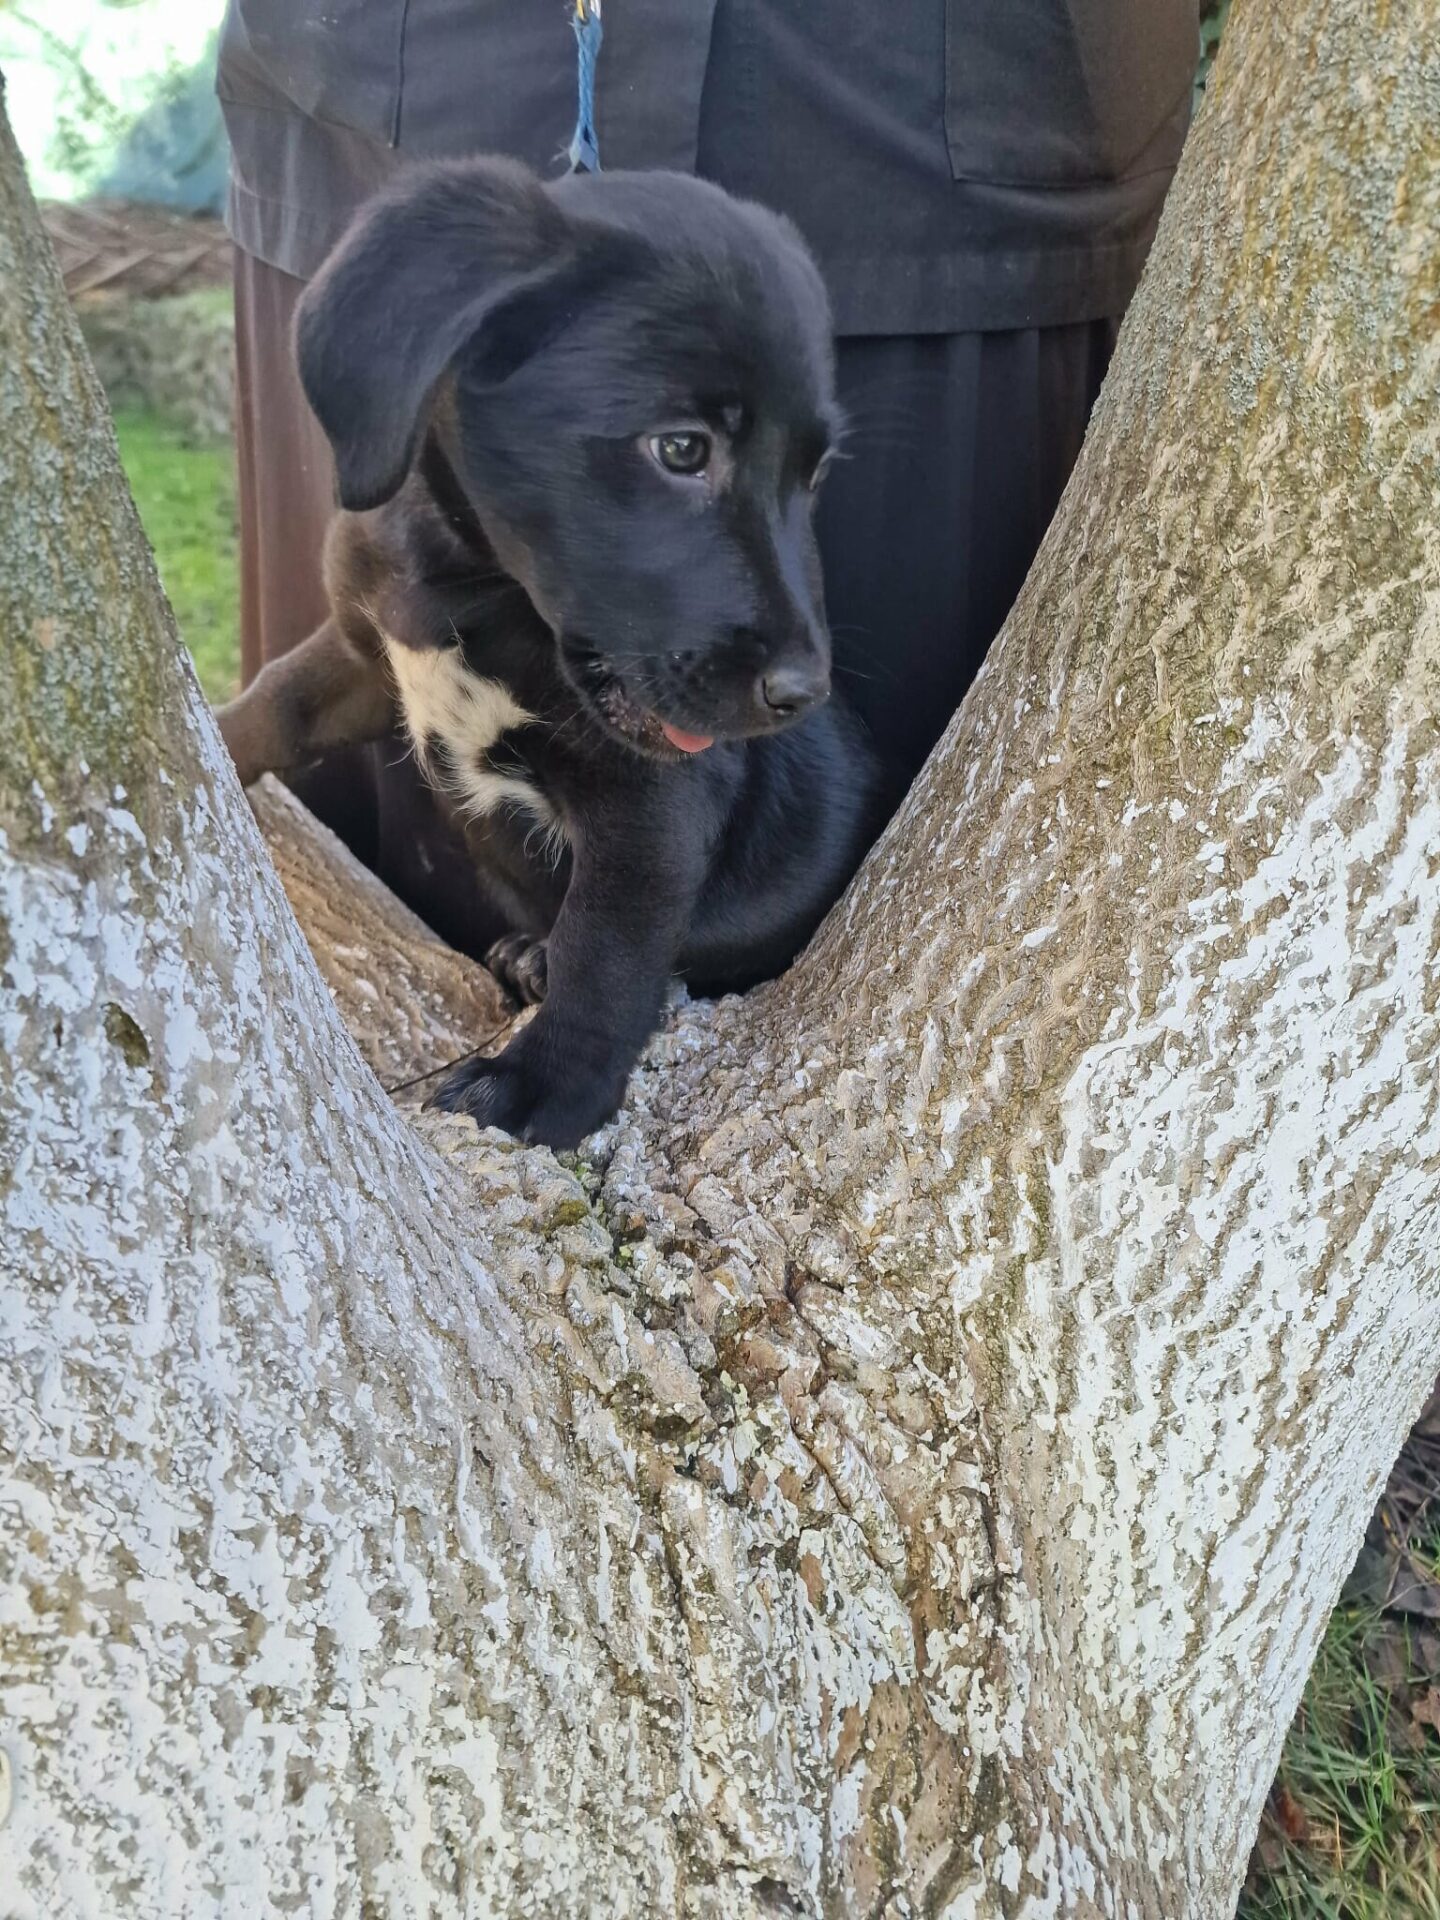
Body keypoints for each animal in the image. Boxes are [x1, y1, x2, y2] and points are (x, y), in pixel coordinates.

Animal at [218, 157, 878, 1148]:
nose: (803, 692)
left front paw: (546, 1085)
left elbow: (604, 954)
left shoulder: (651, 810)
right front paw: (194, 739)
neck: (471, 585)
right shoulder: (364, 654)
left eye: (817, 472)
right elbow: (277, 702)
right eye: (681, 448)